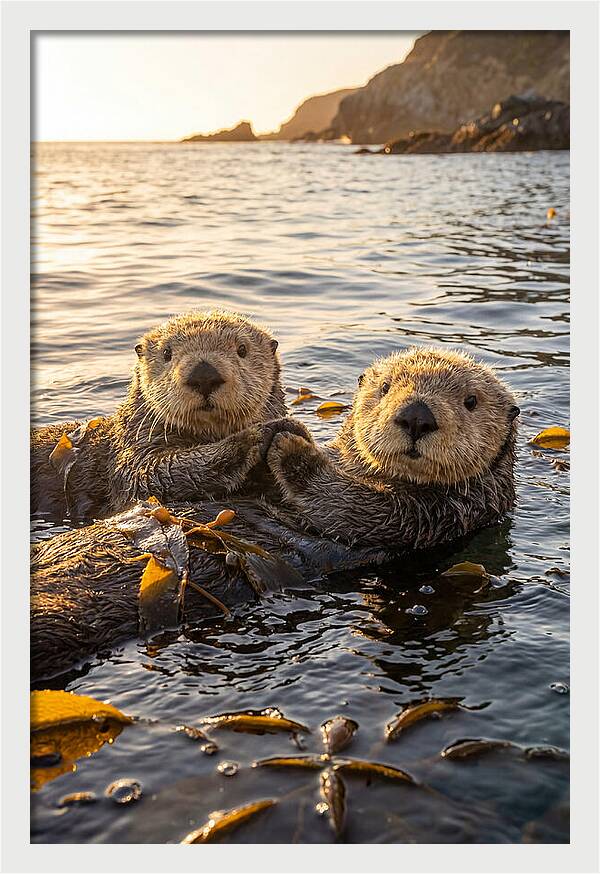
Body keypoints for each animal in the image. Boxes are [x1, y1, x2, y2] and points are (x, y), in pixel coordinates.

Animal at [31, 310, 294, 521]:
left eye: (242, 349)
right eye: (167, 353)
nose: (204, 374)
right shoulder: (131, 455)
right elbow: (152, 474)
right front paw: (256, 436)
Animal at [31, 347, 520, 682]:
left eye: (471, 401)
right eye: (384, 390)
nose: (416, 415)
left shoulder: (433, 516)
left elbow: (347, 504)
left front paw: (289, 443)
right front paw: (276, 430)